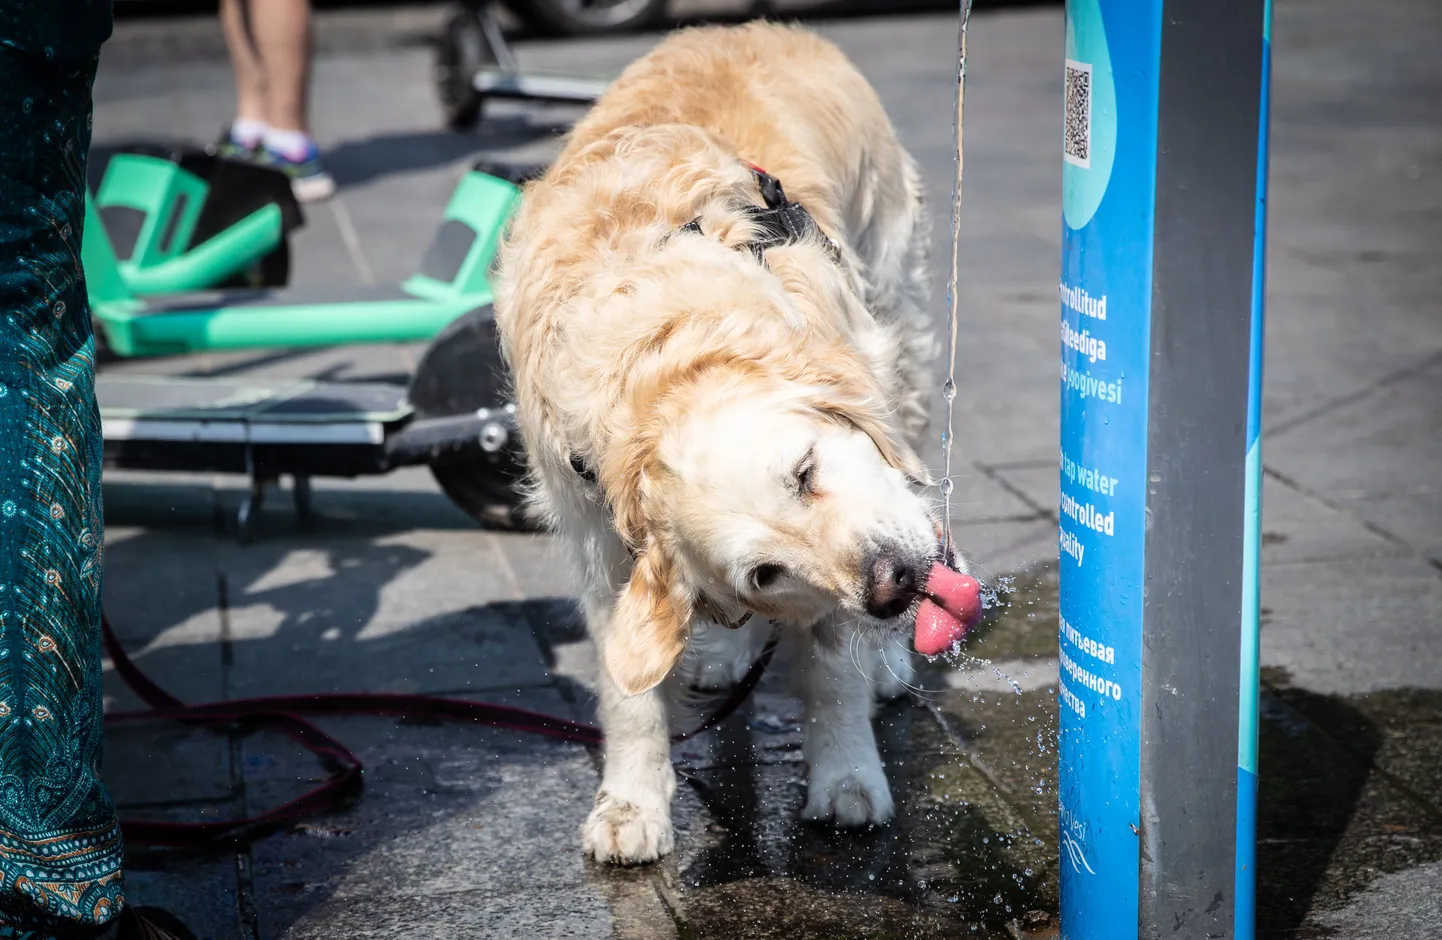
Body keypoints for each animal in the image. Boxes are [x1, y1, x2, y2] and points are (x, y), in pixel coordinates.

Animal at [496, 21, 957, 865]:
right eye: (764, 573)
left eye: (806, 471)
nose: (890, 585)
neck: (652, 355)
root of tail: (748, 24)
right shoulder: (598, 543)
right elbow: (630, 690)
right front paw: (630, 803)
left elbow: (832, 667)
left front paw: (847, 777)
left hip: (899, 320)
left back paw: (885, 660)